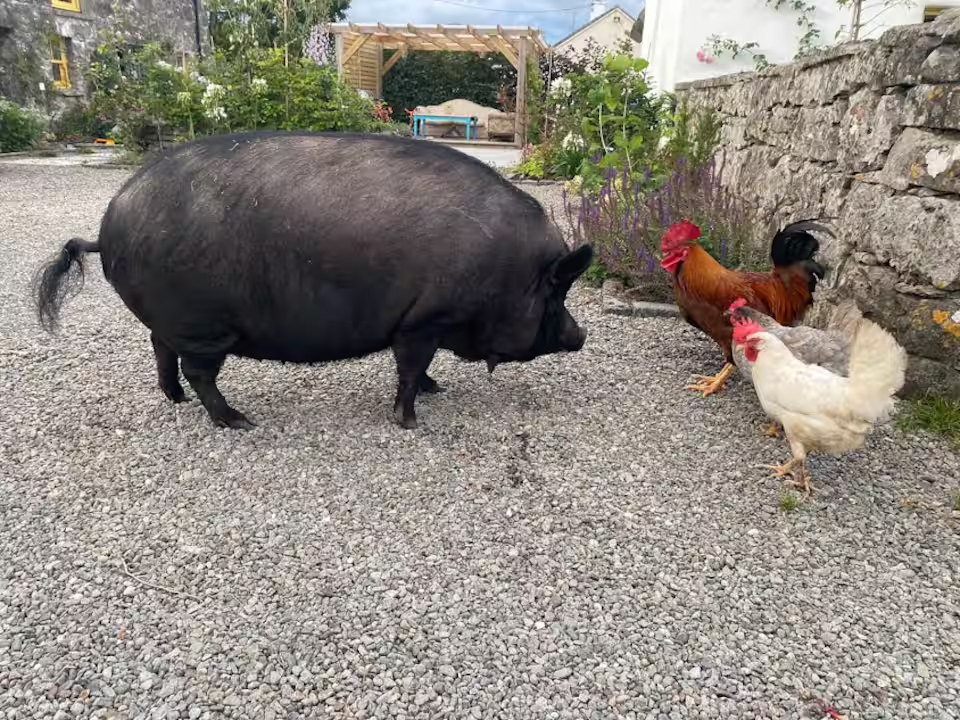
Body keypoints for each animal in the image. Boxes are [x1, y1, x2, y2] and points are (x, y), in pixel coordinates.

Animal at [32, 130, 593, 430]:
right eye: (557, 288)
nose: (581, 334)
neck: (507, 273)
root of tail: (107, 225)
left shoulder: (419, 323)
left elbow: (421, 369)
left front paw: (439, 391)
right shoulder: (425, 319)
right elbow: (410, 368)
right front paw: (411, 422)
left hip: (176, 322)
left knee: (159, 348)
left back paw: (175, 401)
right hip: (202, 324)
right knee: (197, 370)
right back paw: (238, 421)